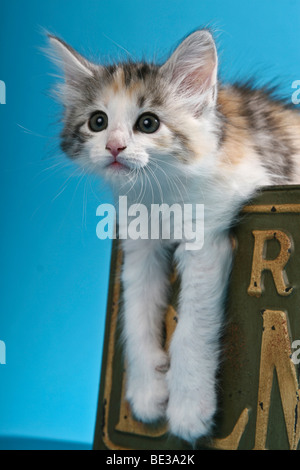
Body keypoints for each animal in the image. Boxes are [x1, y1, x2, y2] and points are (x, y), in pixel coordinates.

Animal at [47, 30, 300, 444]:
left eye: (148, 123)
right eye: (98, 121)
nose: (114, 147)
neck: (159, 194)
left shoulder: (207, 237)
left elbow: (190, 329)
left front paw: (188, 408)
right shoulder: (137, 245)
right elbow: (136, 316)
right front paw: (146, 394)